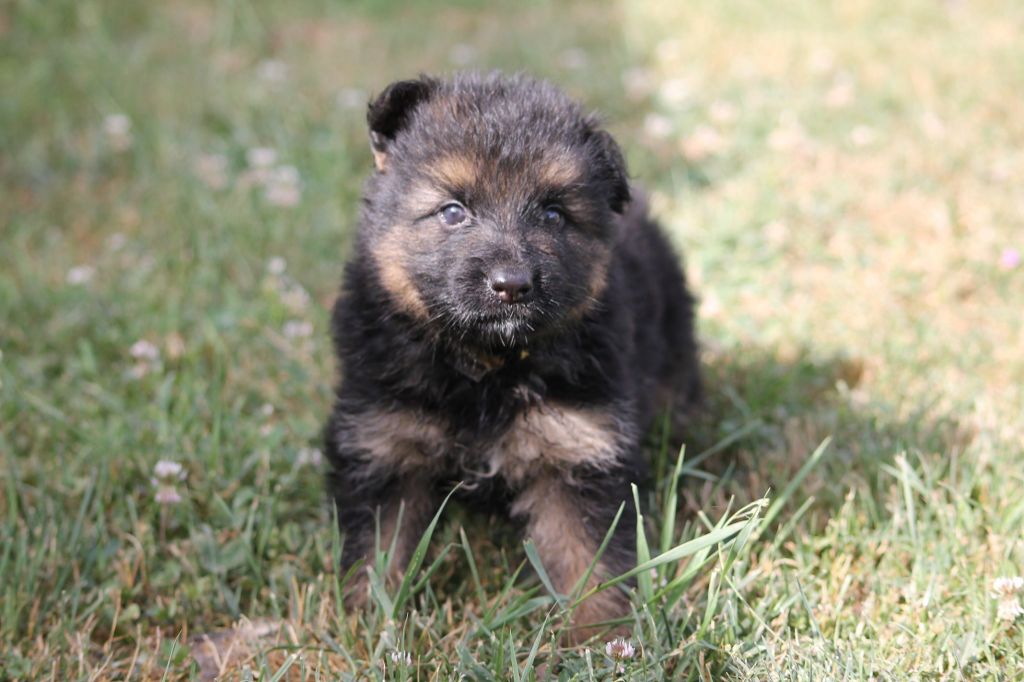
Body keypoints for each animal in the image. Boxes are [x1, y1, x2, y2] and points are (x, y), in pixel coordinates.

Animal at [323, 71, 700, 638]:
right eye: (453, 211)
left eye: (553, 213)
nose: (512, 285)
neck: (484, 369)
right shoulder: (383, 445)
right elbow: (378, 552)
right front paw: (368, 627)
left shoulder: (577, 451)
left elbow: (589, 559)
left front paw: (603, 638)